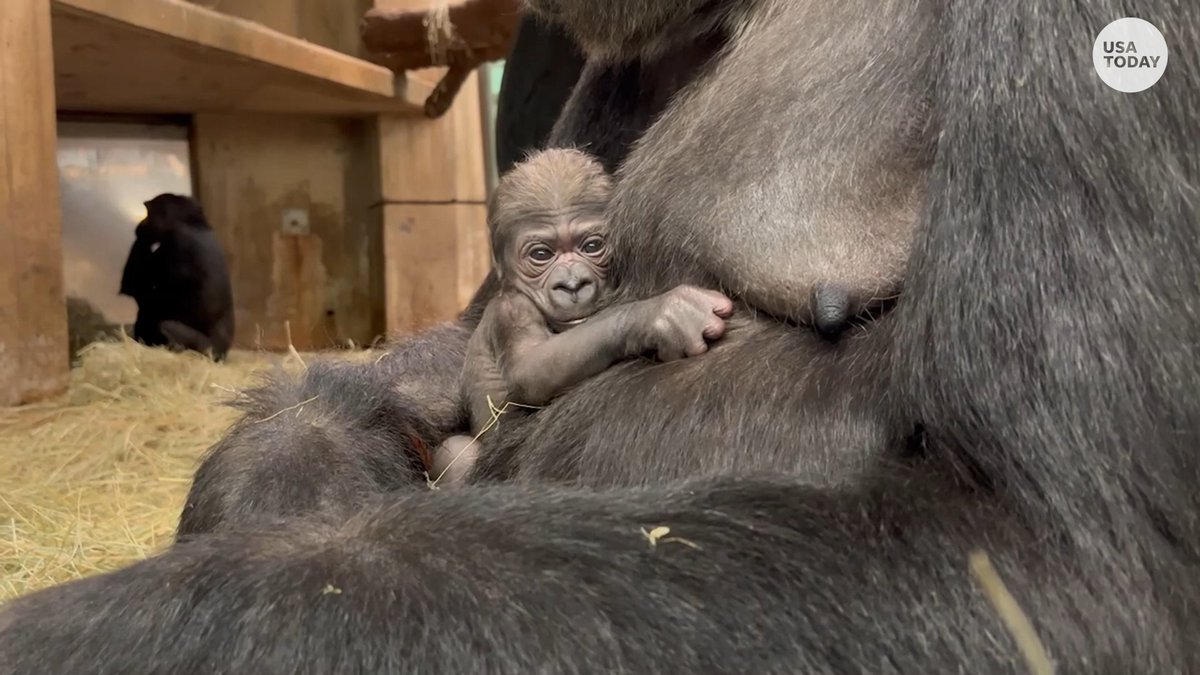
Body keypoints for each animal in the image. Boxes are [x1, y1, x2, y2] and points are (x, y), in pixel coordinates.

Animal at [118, 194, 235, 362]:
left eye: (148, 214)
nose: (141, 224)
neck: (194, 224)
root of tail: (222, 357)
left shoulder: (175, 243)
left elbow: (140, 292)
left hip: (207, 351)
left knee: (163, 323)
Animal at [430, 149, 733, 484]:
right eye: (541, 255)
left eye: (591, 246)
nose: (573, 284)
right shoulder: (512, 311)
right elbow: (530, 368)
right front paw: (658, 314)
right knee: (456, 452)